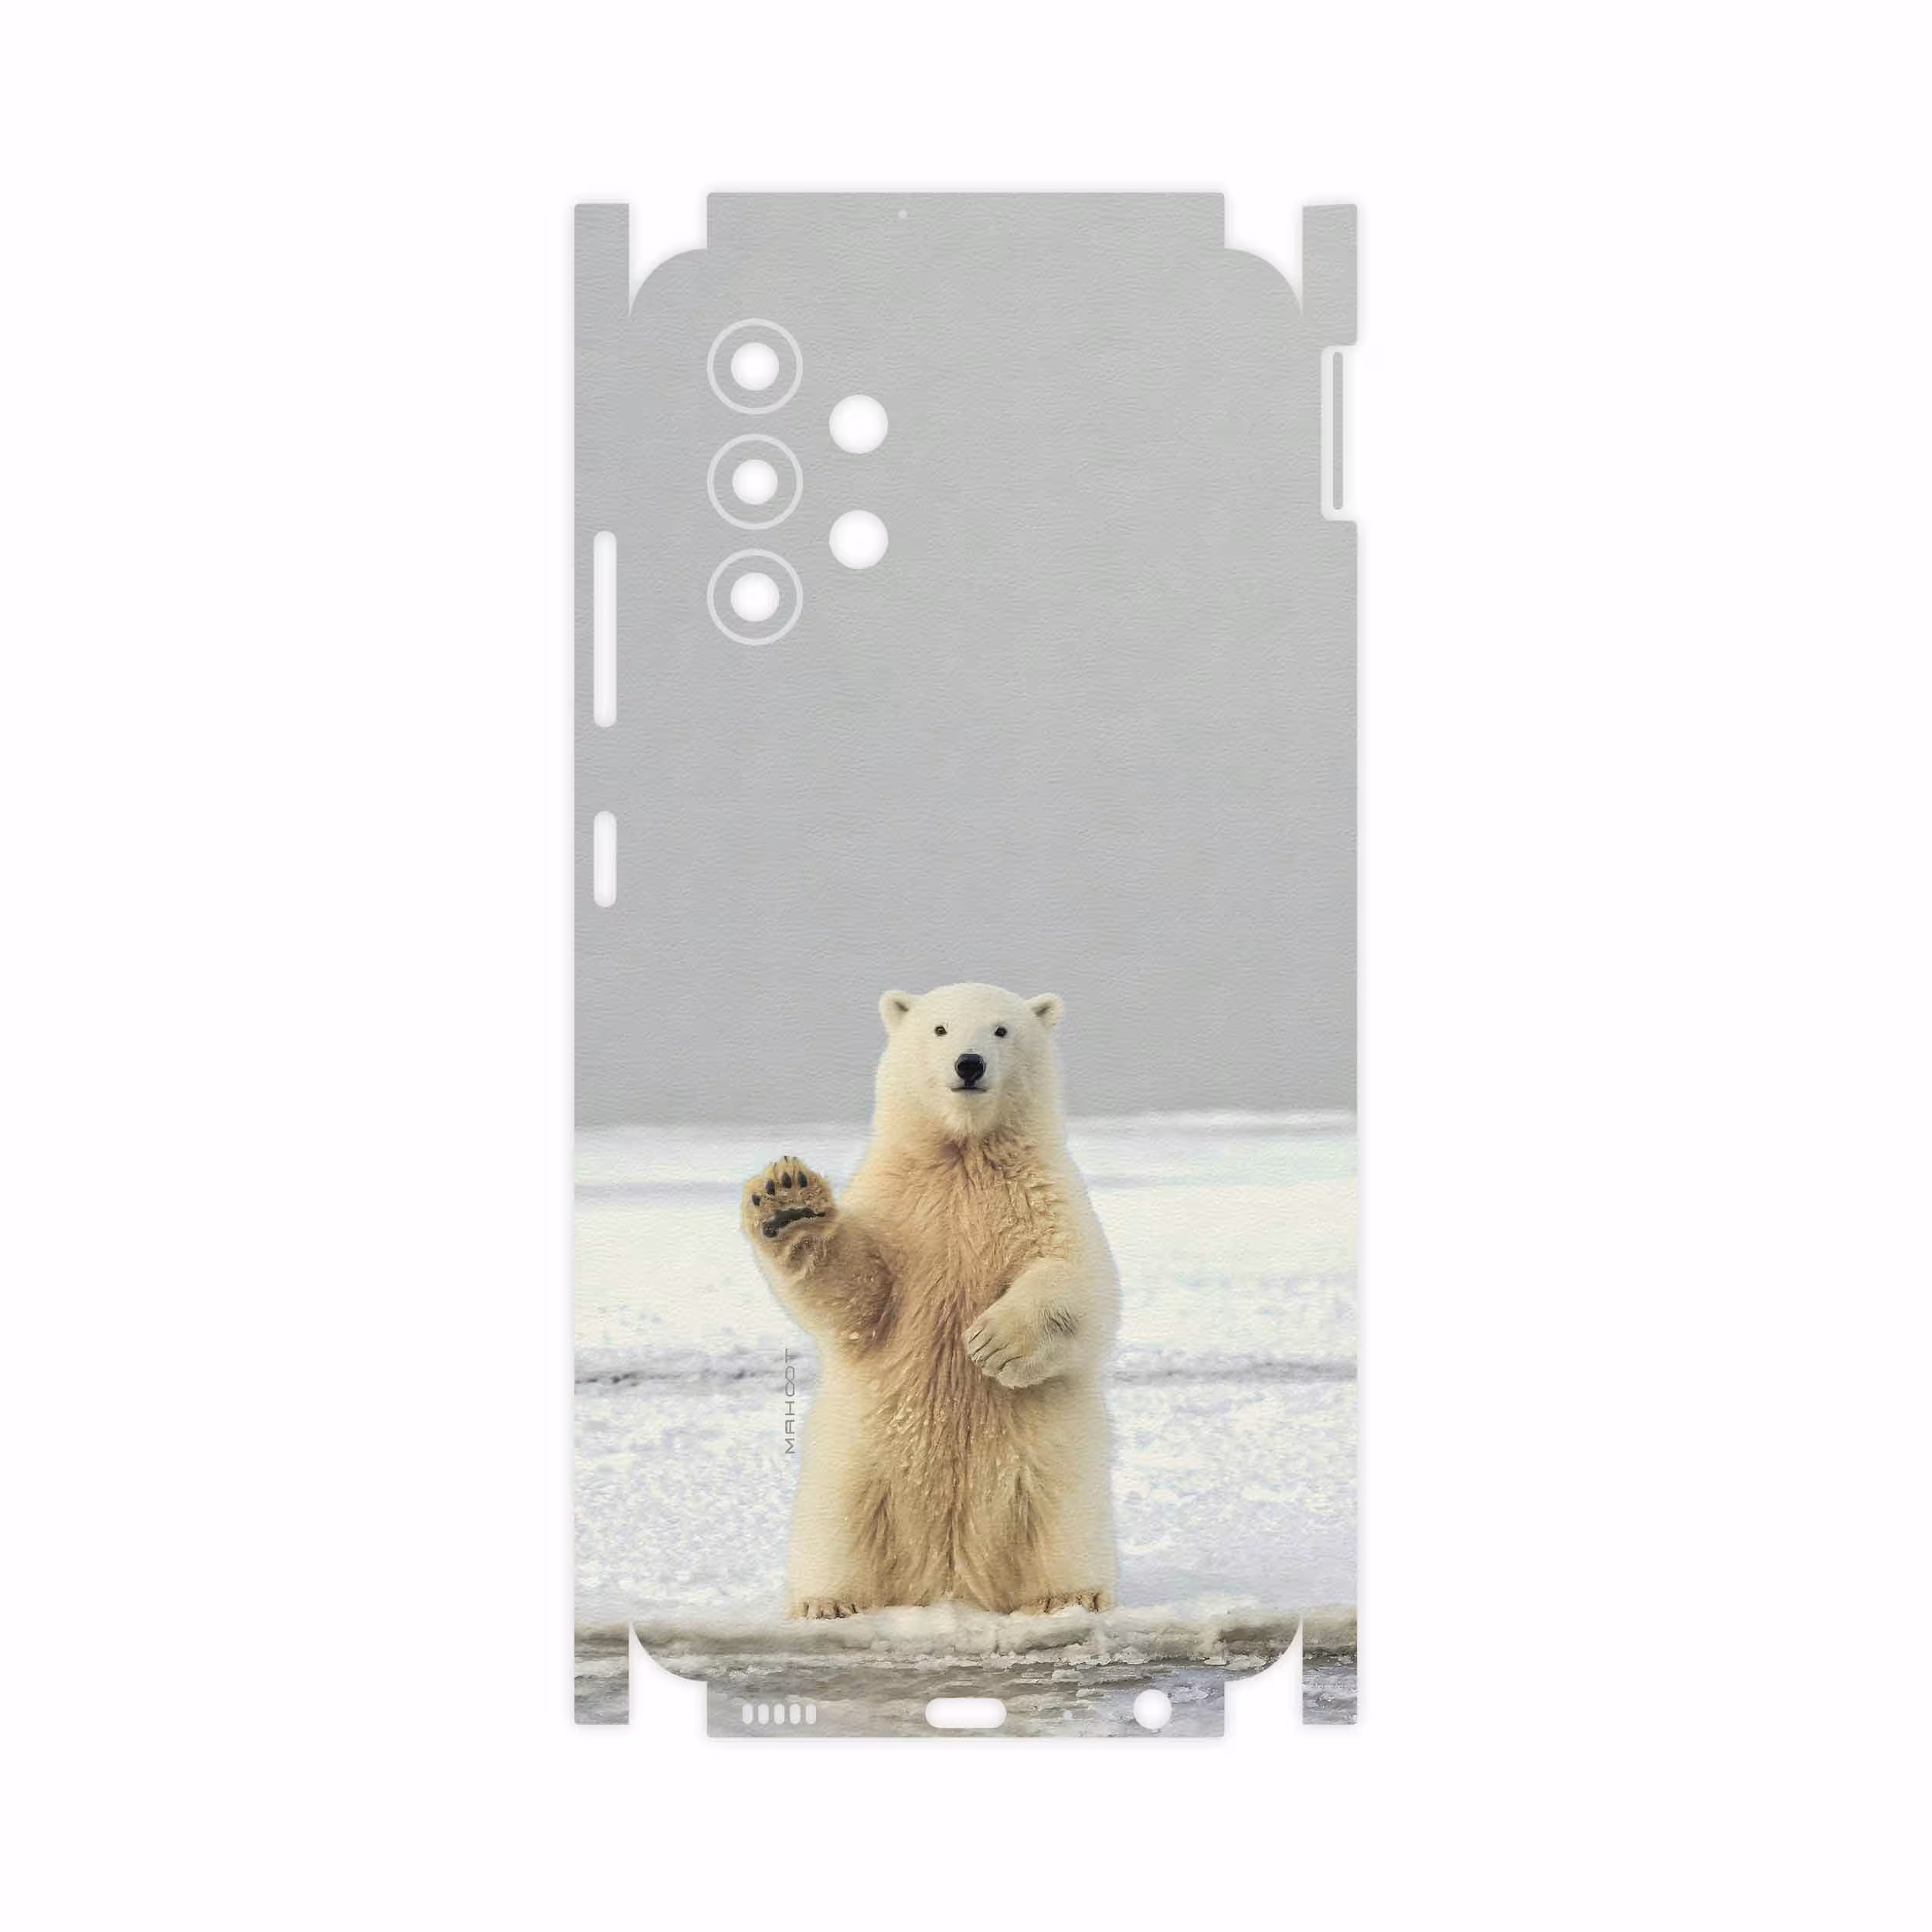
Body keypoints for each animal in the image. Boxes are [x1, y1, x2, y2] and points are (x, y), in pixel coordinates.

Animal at [740, 982, 1119, 1619]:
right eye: (940, 1029)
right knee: (837, 1530)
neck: (963, 1154)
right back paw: (827, 1602)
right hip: (855, 1466)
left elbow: (1081, 1282)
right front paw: (788, 1202)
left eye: (1001, 1030)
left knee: (1062, 1525)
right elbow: (859, 1294)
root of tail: (949, 1580)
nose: (969, 1065)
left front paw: (993, 1342)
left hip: (1053, 1471)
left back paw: (1068, 1596)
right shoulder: (901, 1204)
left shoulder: (1044, 1196)